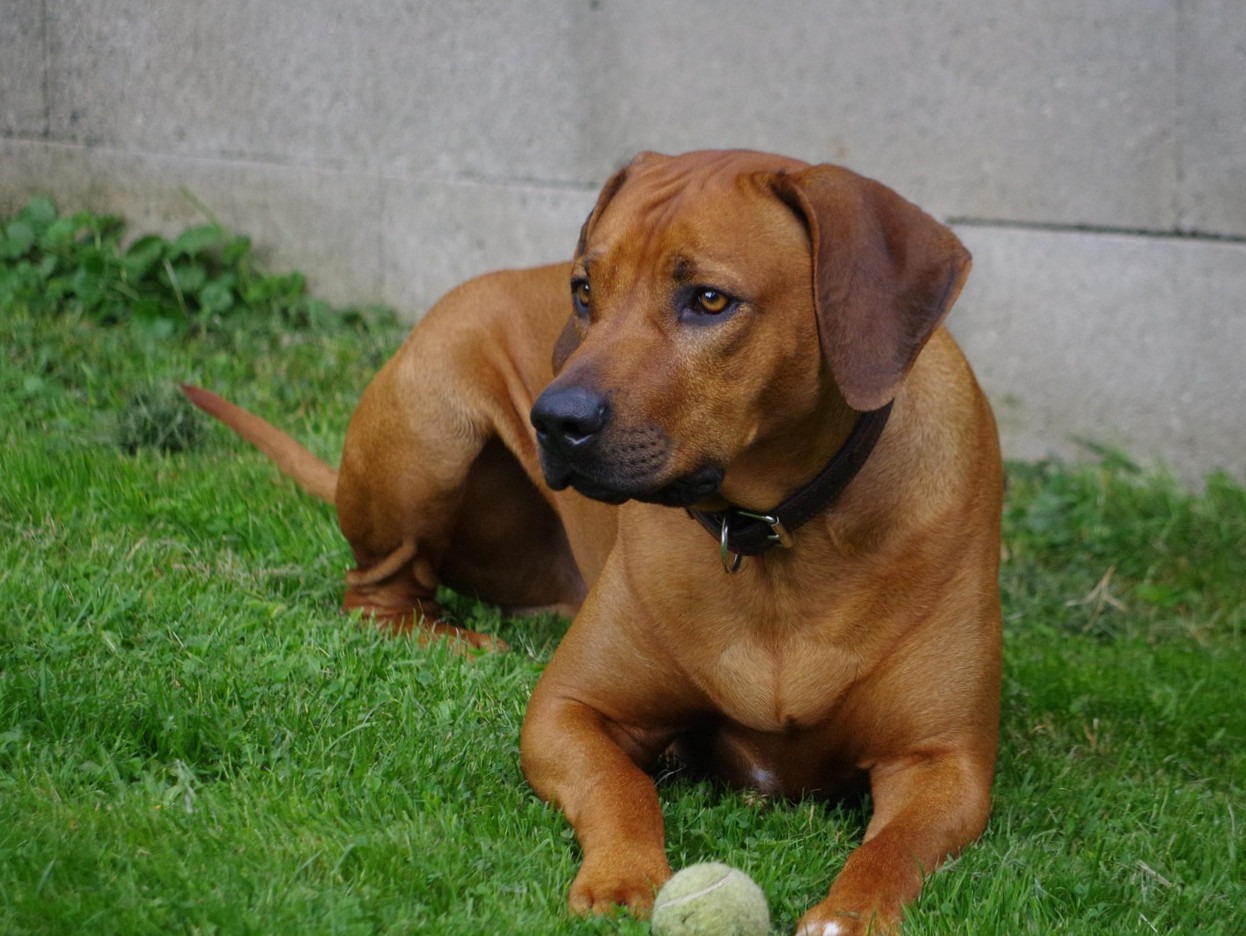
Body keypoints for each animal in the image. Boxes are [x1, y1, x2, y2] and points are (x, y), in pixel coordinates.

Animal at [184, 150, 1001, 932]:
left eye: (709, 299)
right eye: (583, 290)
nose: (555, 419)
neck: (770, 533)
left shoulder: (946, 764)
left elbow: (895, 847)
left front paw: (850, 914)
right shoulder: (568, 711)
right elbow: (618, 783)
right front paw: (621, 877)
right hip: (429, 424)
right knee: (376, 592)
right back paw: (461, 641)